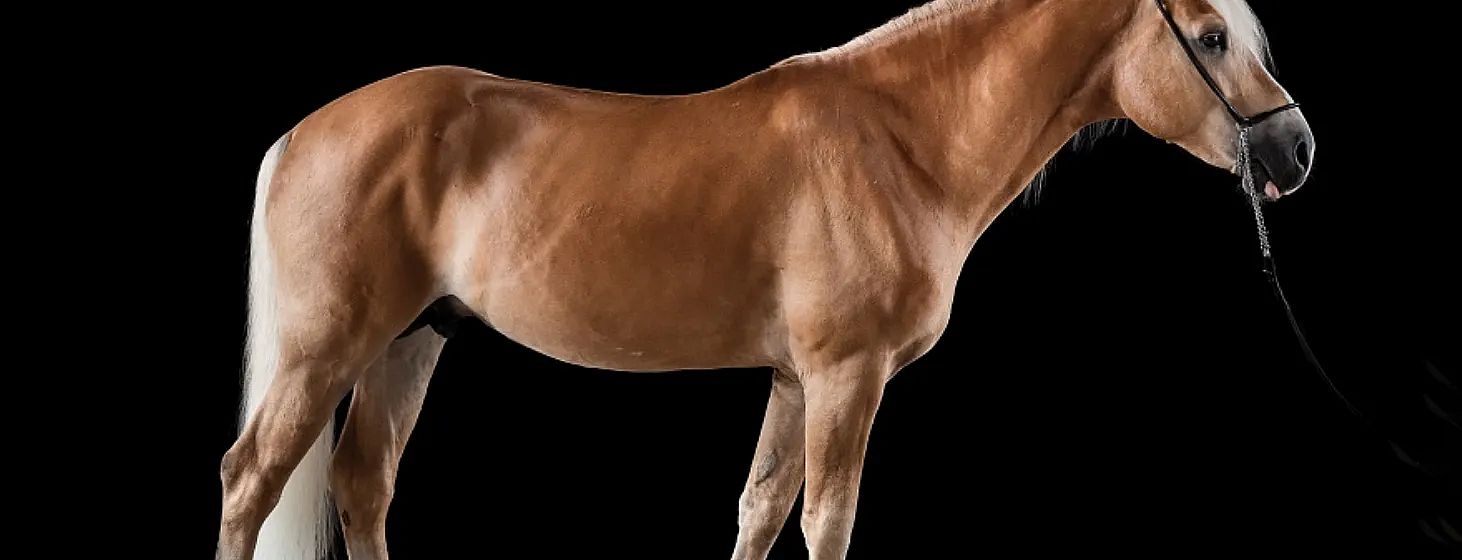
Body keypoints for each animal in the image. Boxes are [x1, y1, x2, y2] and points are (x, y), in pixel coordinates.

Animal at [217, 1, 1315, 558]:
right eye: (1210, 37)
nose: (1295, 150)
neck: (899, 139)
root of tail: (300, 133)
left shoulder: (795, 379)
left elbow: (762, 506)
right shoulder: (844, 376)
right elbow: (828, 517)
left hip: (412, 339)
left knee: (363, 482)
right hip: (326, 347)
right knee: (250, 481)